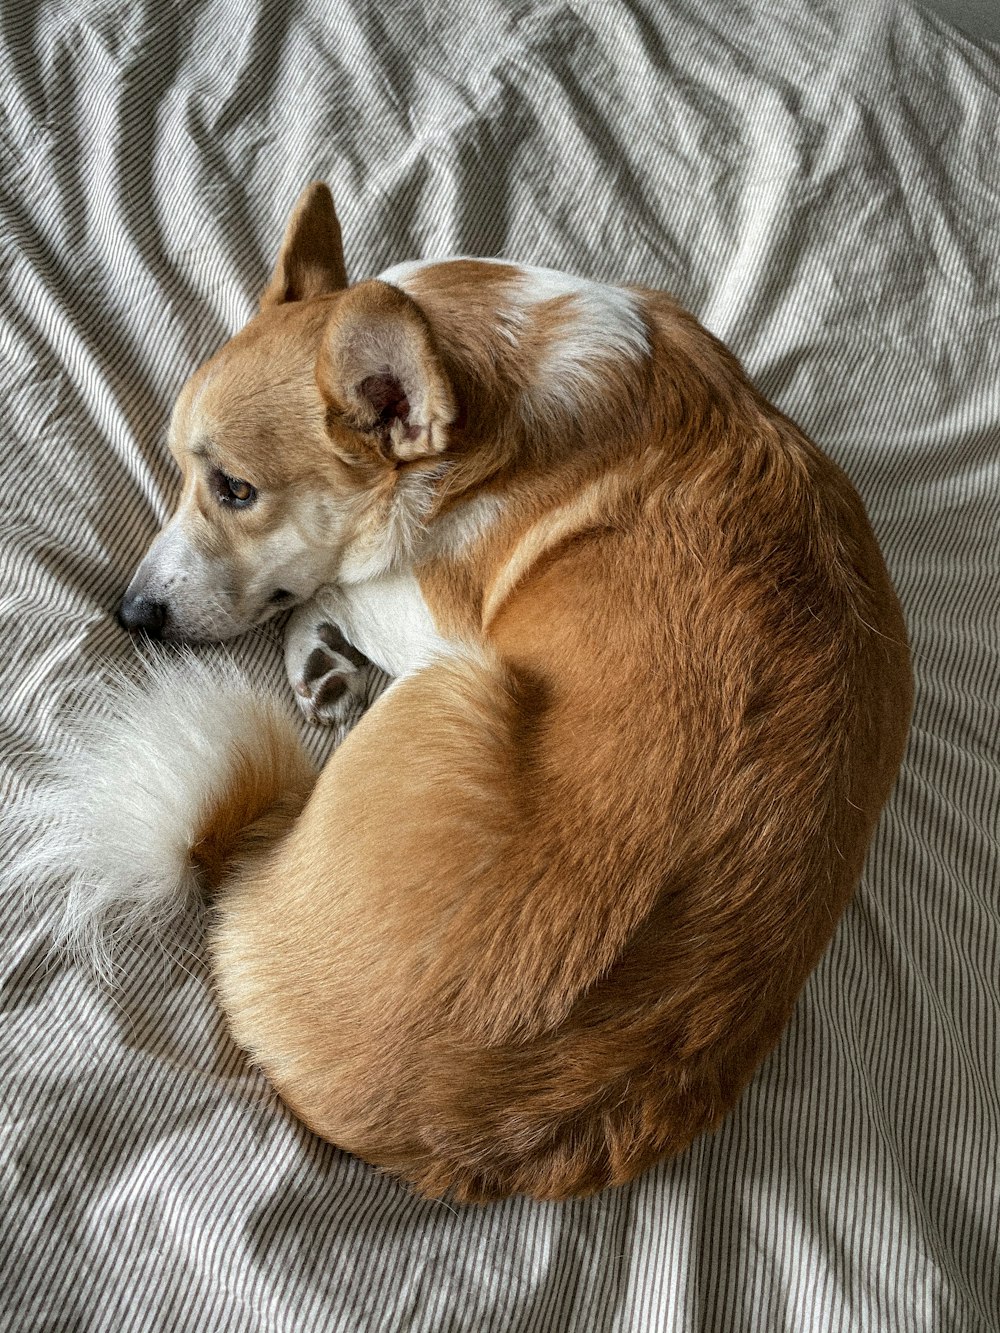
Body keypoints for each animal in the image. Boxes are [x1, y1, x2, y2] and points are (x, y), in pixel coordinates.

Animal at [54, 182, 917, 1205]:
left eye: (234, 488)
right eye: (190, 475)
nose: (131, 614)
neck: (475, 405)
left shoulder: (431, 614)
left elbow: (333, 584)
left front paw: (317, 646)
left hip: (453, 683)